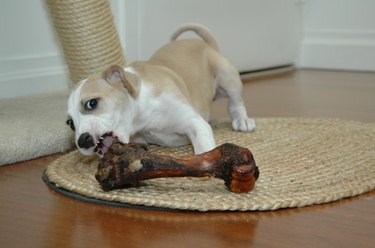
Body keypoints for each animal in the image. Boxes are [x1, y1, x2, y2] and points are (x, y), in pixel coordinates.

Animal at [67, 22, 256, 155]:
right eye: (70, 124)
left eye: (91, 103)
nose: (82, 141)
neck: (142, 114)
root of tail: (207, 44)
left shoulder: (194, 122)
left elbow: (204, 149)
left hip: (227, 76)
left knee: (235, 102)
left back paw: (243, 120)